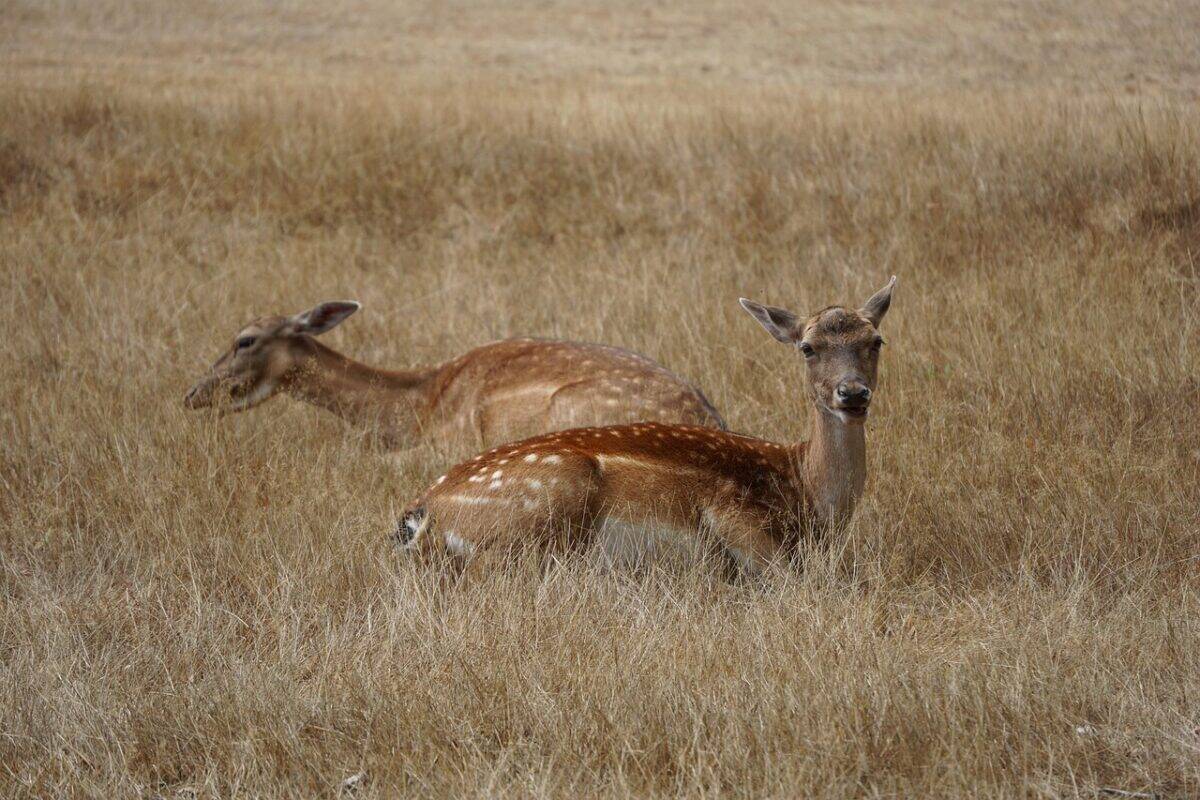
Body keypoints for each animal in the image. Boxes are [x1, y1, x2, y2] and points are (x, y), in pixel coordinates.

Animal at [392, 277, 896, 577]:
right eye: (808, 348)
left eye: (876, 340)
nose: (852, 393)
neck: (803, 492)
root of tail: (422, 511)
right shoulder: (732, 512)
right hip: (552, 494)